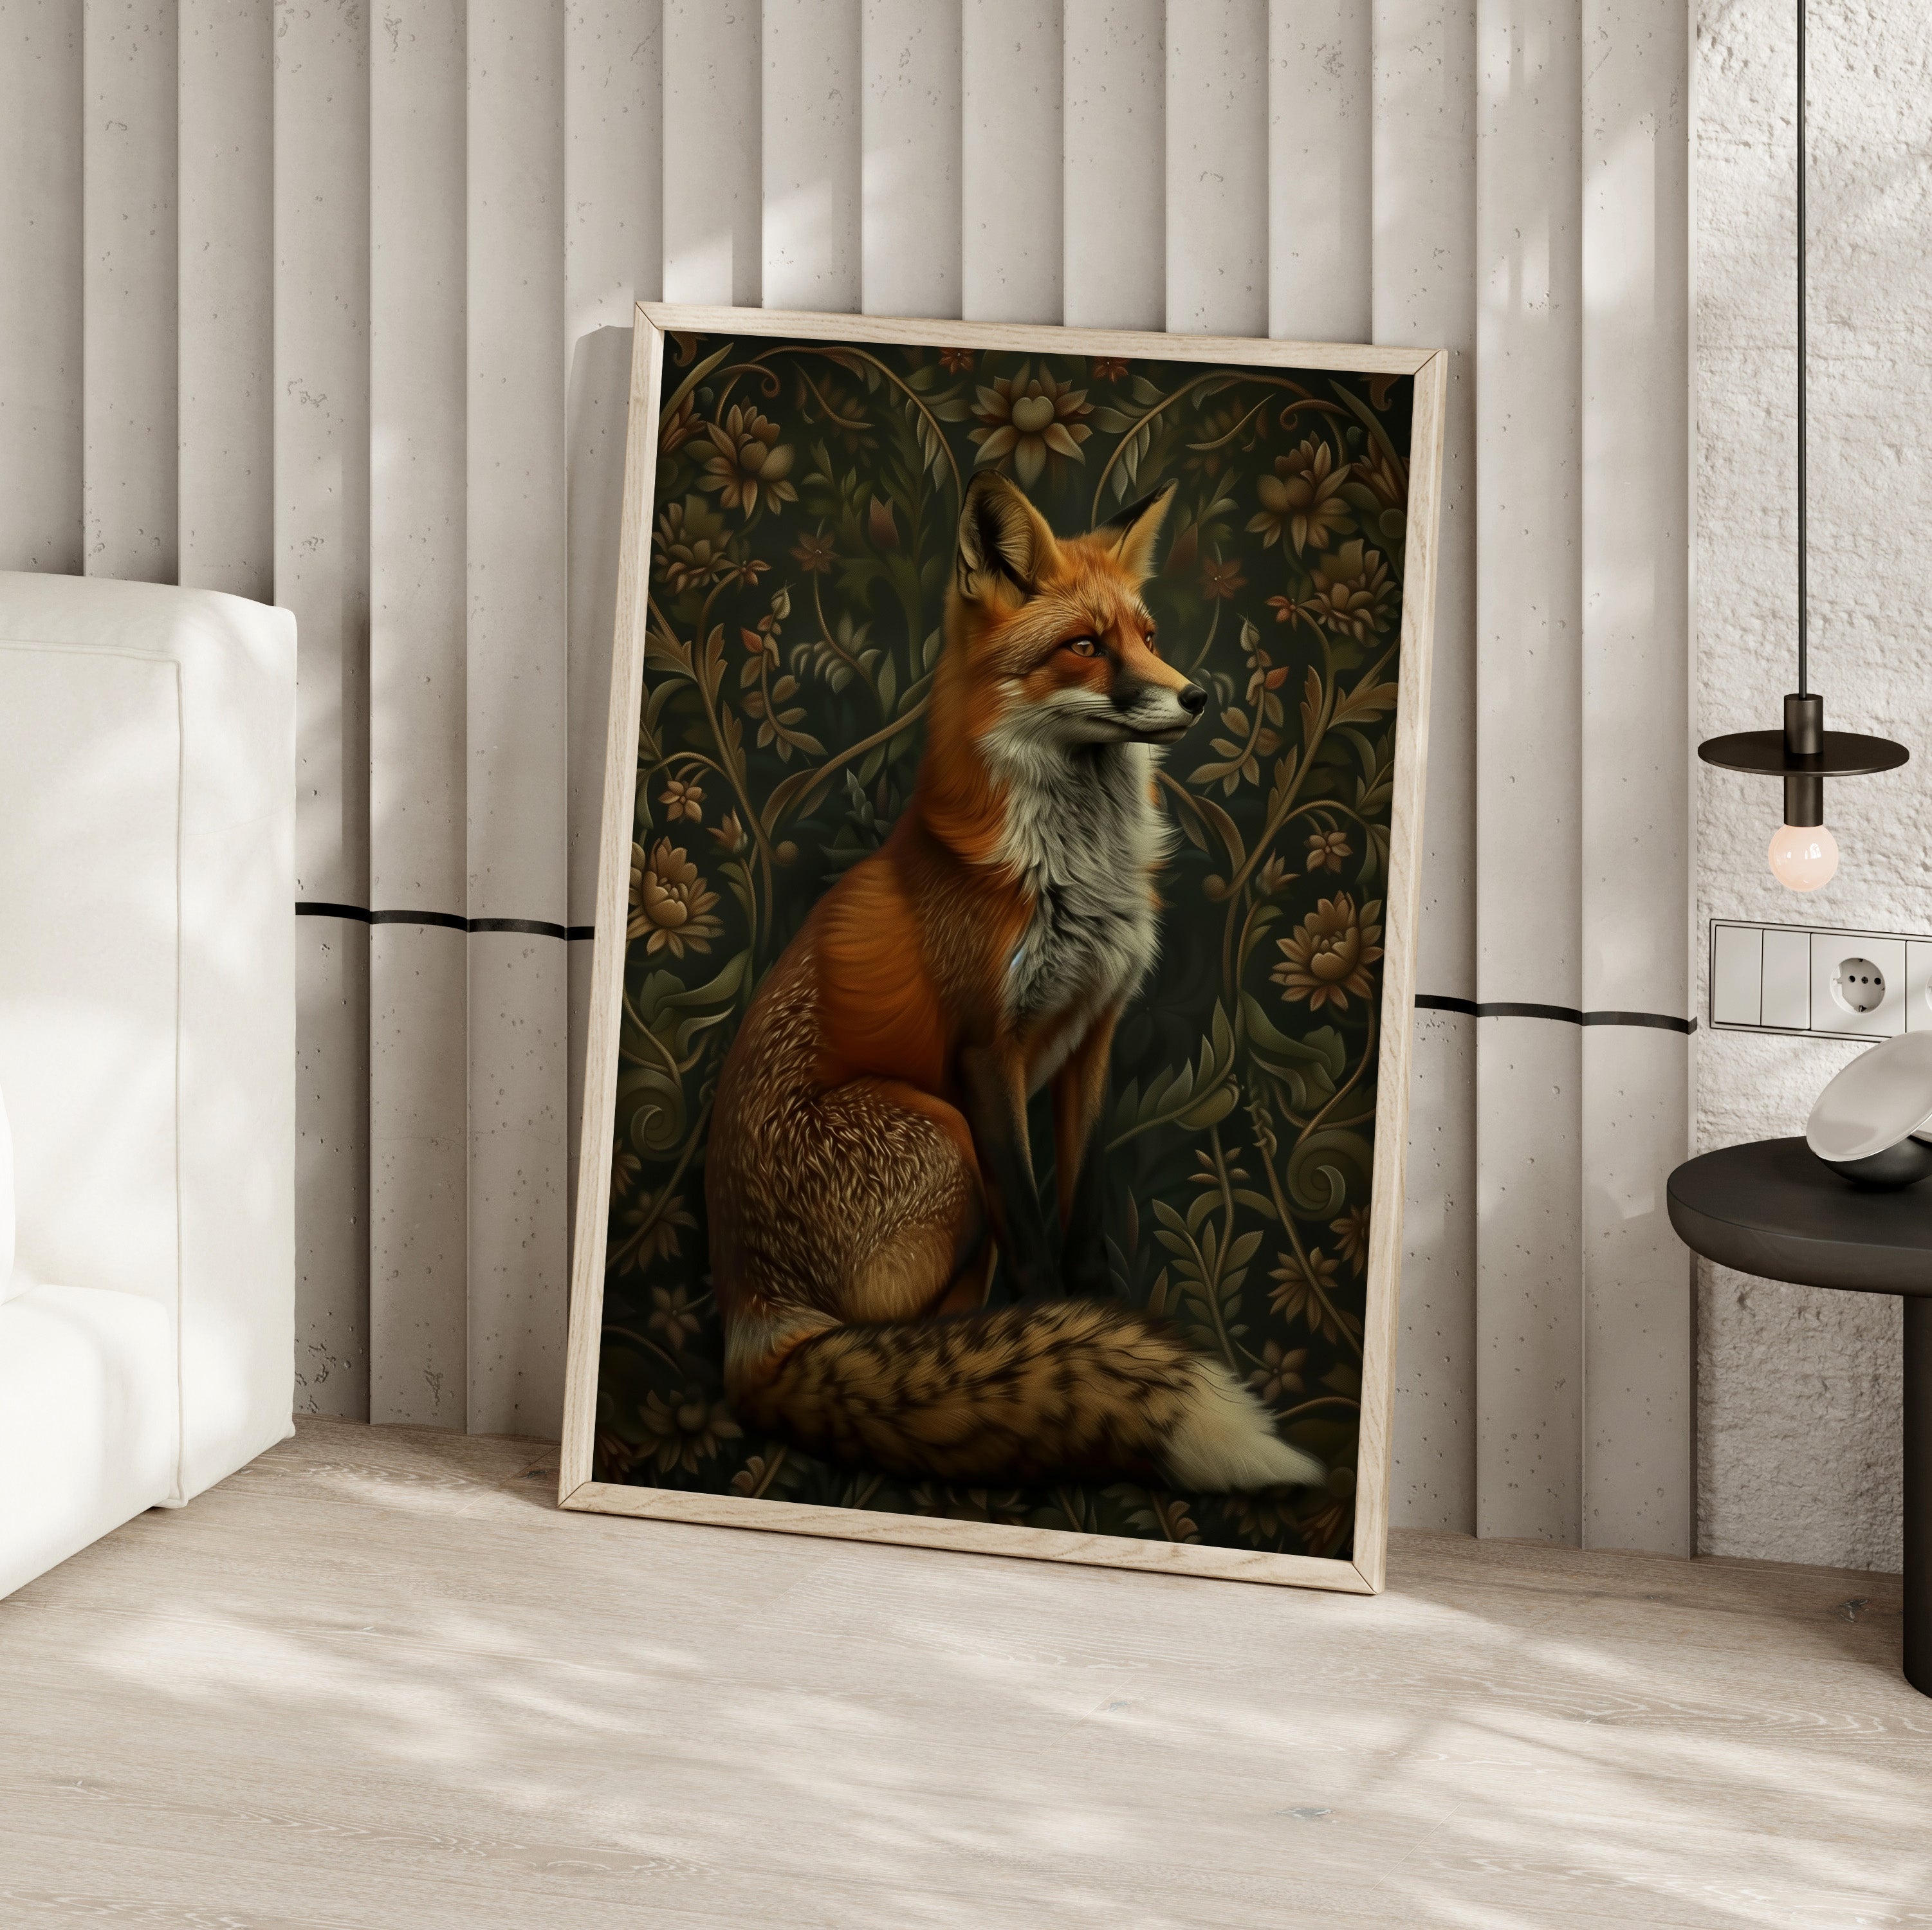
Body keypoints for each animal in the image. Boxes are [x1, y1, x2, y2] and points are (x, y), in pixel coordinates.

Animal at [704, 470, 1325, 1495]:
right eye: (1084, 646)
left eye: (1146, 634)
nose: (1195, 696)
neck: (1072, 875)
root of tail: (752, 1319)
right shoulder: (984, 1052)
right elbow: (1034, 1235)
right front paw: (1057, 1329)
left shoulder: (1094, 1034)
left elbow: (1078, 1204)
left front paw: (1094, 1310)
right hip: (940, 1130)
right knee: (907, 1328)